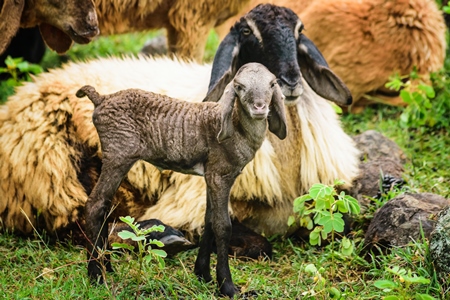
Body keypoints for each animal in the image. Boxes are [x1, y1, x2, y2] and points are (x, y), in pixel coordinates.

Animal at [0, 4, 360, 258]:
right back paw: (160, 236)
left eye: (300, 31)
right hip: (58, 168)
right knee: (78, 216)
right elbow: (257, 244)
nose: (290, 83)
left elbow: (341, 227)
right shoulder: (196, 202)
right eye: (247, 31)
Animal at [76, 62, 288, 296]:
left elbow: (209, 220)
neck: (236, 126)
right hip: (118, 155)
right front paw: (228, 287)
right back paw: (96, 275)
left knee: (105, 207)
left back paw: (108, 267)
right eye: (239, 86)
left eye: (272, 84)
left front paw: (203, 275)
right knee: (95, 205)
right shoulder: (220, 174)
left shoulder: (211, 176)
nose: (260, 108)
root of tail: (102, 99)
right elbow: (223, 226)